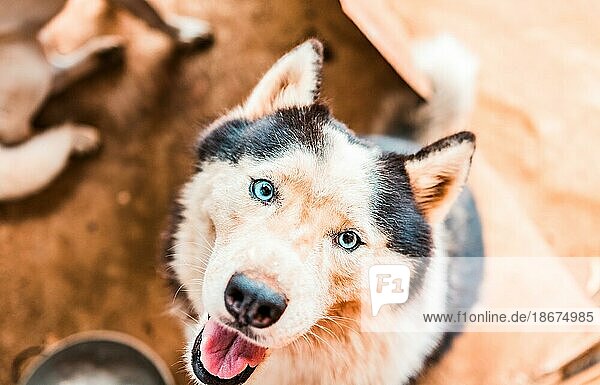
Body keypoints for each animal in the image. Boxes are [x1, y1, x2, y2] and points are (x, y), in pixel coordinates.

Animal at [0, 0, 212, 200]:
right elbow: (152, 15)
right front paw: (181, 34)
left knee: (57, 74)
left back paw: (101, 56)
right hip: (29, 63)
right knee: (21, 134)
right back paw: (76, 137)